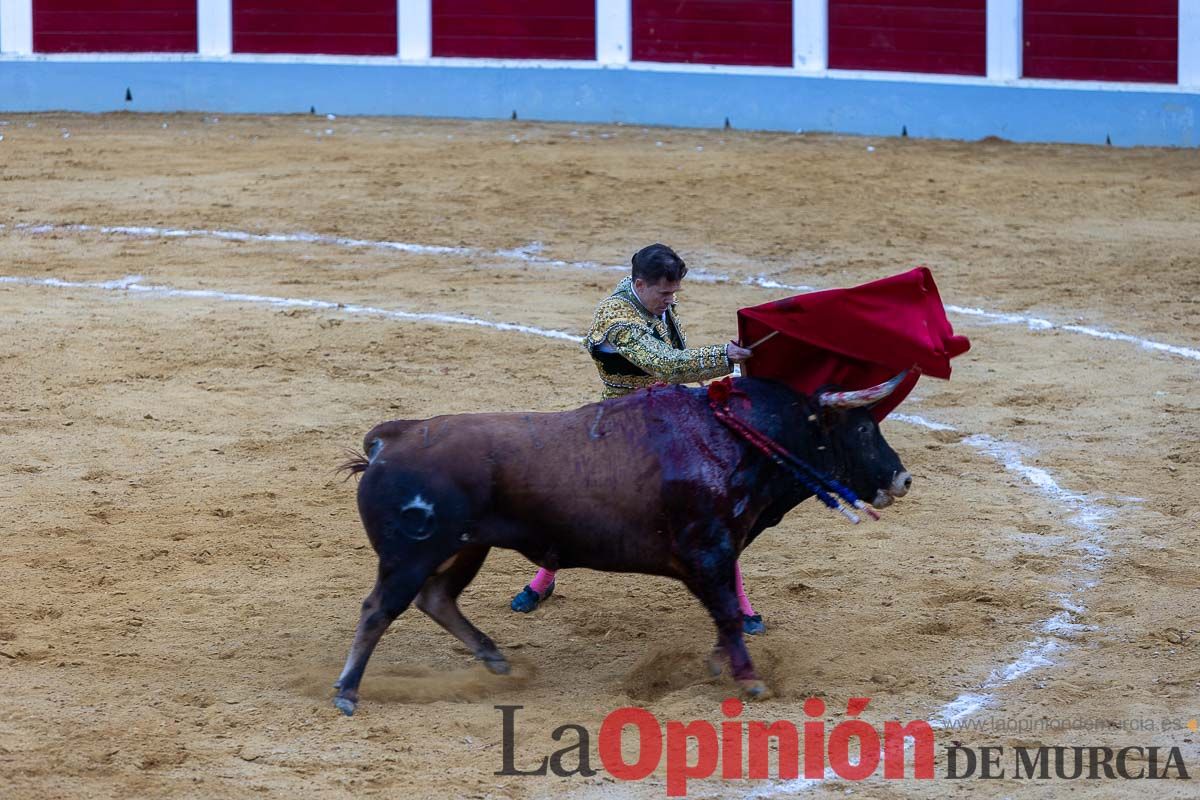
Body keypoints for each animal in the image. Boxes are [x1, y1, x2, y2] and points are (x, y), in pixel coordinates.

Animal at [331, 379, 907, 714]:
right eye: (861, 428)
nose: (902, 479)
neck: (737, 438)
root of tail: (393, 438)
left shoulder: (716, 557)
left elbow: (724, 617)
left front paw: (721, 664)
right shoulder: (710, 552)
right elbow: (725, 612)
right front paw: (748, 679)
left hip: (466, 549)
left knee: (437, 599)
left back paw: (495, 659)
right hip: (411, 556)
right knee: (379, 610)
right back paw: (346, 692)